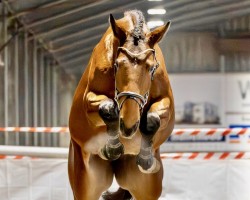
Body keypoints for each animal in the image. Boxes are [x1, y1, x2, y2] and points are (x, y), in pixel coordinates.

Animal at [67, 9, 175, 200]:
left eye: (152, 67)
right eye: (117, 65)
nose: (129, 125)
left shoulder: (166, 104)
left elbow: (153, 119)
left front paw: (146, 159)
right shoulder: (89, 100)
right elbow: (109, 108)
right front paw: (112, 149)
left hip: (145, 187)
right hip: (85, 183)